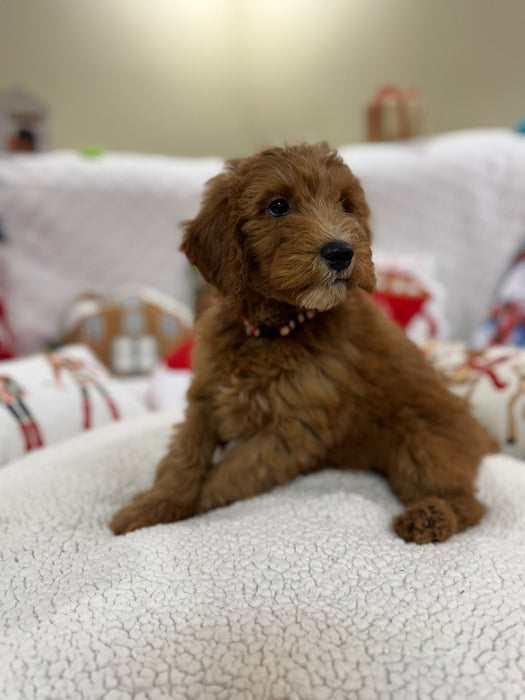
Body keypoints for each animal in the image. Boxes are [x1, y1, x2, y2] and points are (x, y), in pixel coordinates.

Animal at [109, 142, 492, 544]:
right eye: (278, 206)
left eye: (344, 204)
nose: (341, 252)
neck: (273, 329)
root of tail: (483, 435)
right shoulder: (207, 396)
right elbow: (182, 457)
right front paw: (149, 507)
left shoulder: (294, 429)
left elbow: (227, 475)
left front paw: (180, 509)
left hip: (422, 446)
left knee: (467, 502)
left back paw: (428, 518)